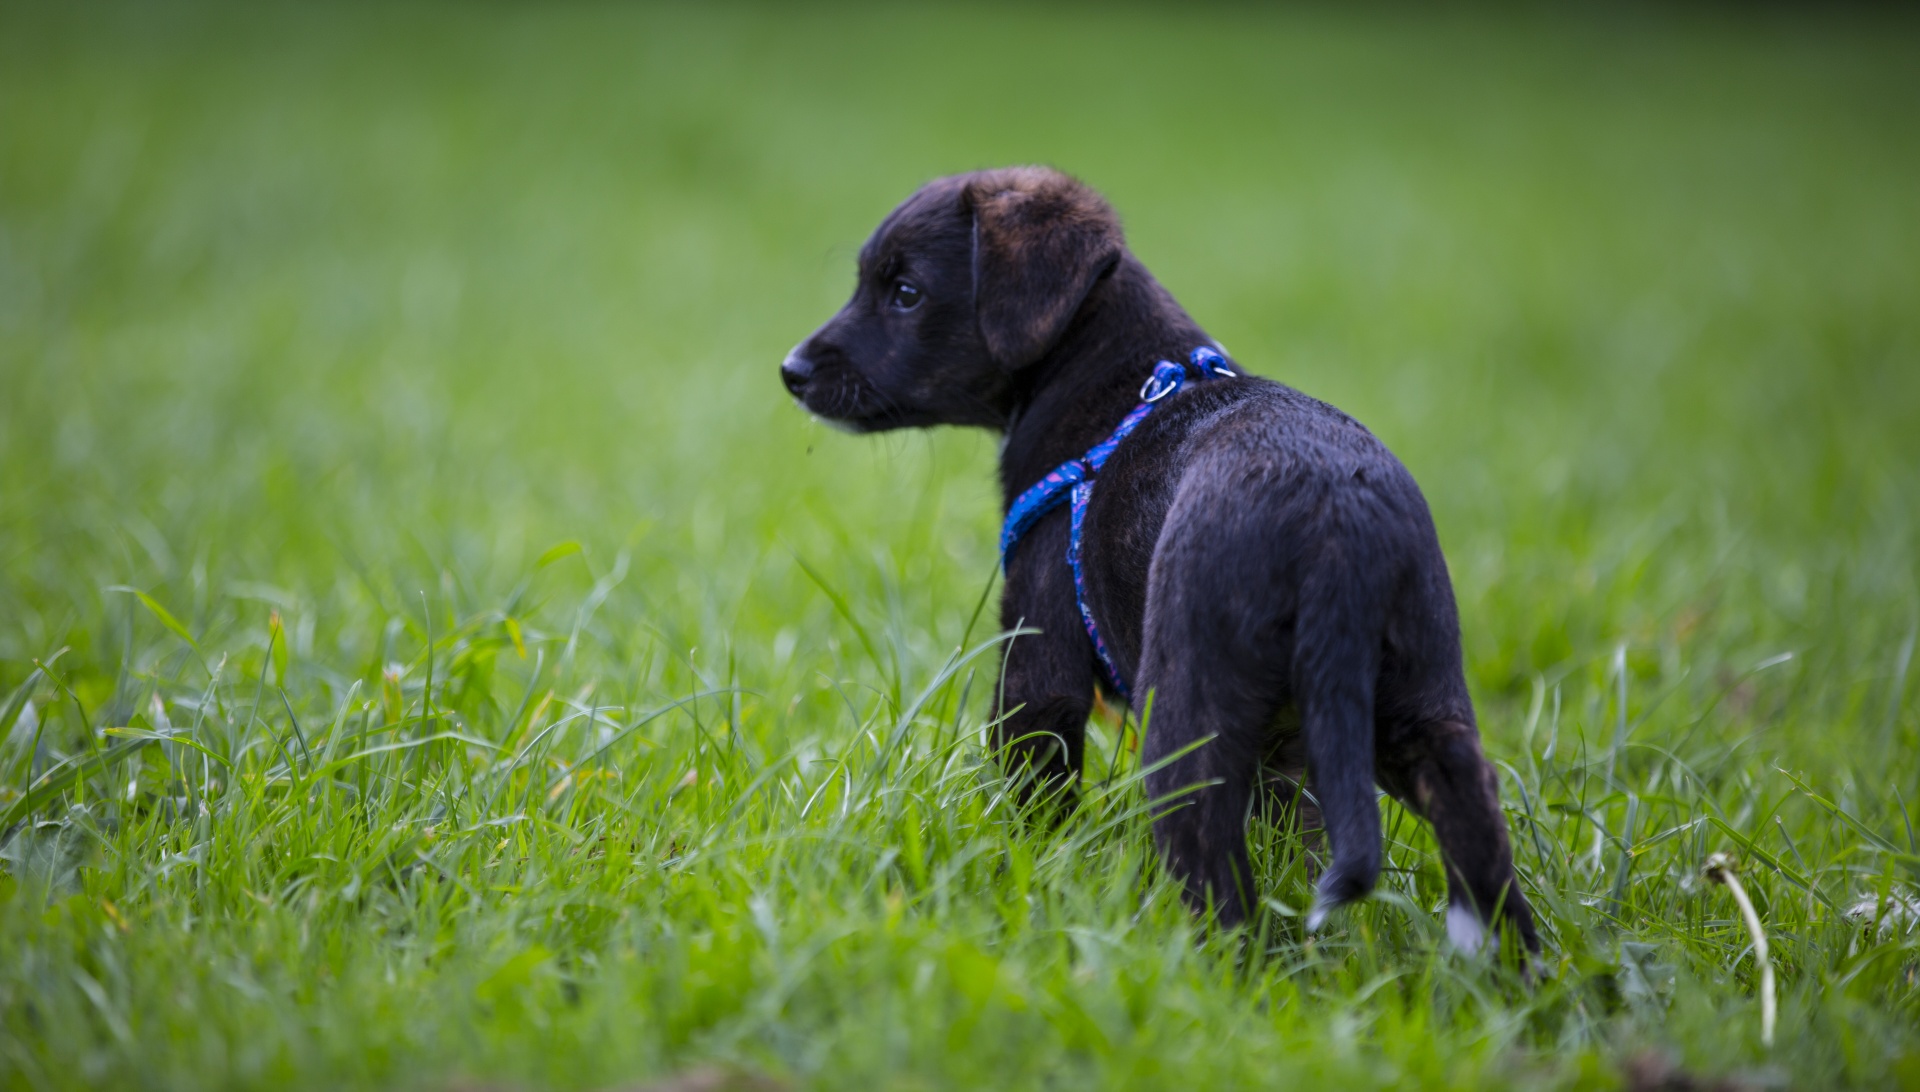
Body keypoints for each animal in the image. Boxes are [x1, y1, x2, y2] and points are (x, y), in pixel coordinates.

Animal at [771, 166, 1536, 948]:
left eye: (905, 292)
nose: (790, 371)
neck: (1106, 374)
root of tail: (1333, 522)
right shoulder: (1292, 758)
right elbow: (1298, 830)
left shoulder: (1038, 654)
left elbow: (1034, 780)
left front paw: (1030, 872)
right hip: (1423, 703)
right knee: (1475, 827)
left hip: (1184, 721)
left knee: (1217, 881)